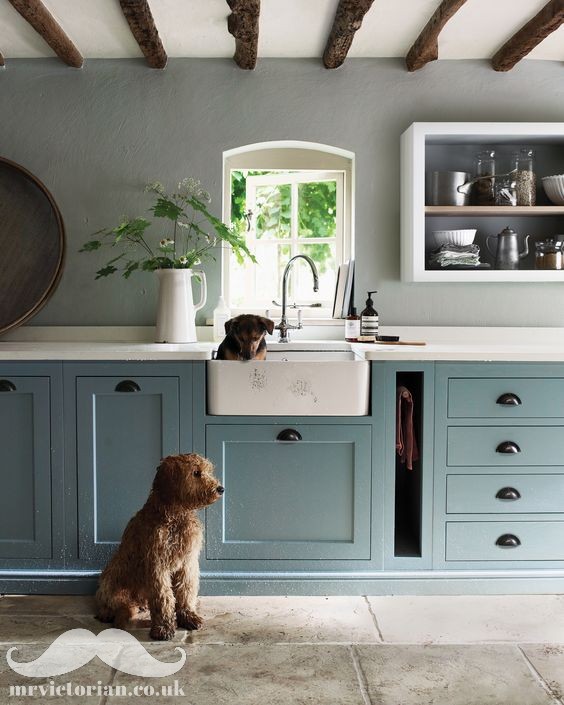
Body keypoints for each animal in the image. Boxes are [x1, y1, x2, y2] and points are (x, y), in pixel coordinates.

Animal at [94, 454, 223, 640]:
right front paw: (163, 627)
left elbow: (185, 590)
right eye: (196, 473)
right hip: (111, 579)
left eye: (207, 471)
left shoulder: (187, 563)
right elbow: (163, 597)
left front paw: (188, 617)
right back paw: (107, 613)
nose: (221, 489)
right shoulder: (157, 564)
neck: (175, 515)